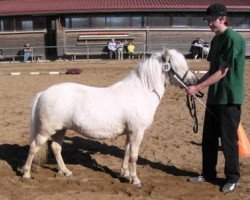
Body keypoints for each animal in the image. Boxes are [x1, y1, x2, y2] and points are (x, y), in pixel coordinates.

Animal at [21, 49, 197, 187]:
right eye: (178, 66)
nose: (194, 82)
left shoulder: (130, 133)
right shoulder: (137, 132)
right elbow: (134, 156)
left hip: (60, 129)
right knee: (34, 147)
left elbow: (126, 153)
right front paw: (136, 180)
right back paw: (26, 173)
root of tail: (44, 92)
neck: (141, 92)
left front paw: (125, 174)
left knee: (56, 148)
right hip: (46, 131)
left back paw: (66, 171)